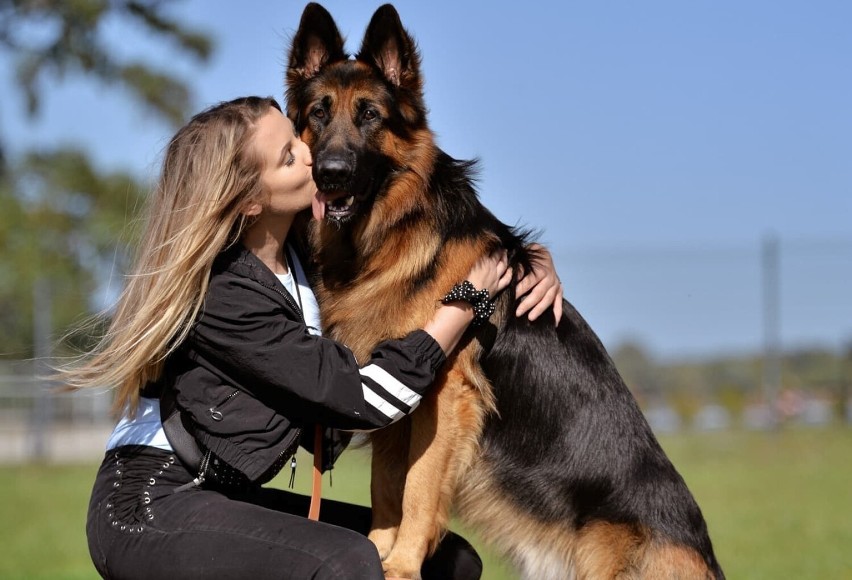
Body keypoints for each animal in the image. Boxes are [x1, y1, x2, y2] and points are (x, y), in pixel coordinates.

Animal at [288, 5, 724, 580]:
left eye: (370, 116)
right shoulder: (394, 398)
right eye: (319, 114)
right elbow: (387, 488)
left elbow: (417, 489)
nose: (330, 174)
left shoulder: (445, 396)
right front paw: (378, 551)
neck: (391, 238)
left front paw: (399, 565)